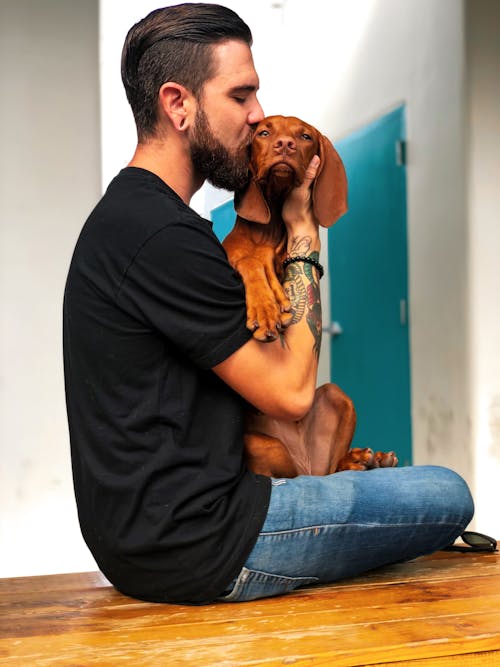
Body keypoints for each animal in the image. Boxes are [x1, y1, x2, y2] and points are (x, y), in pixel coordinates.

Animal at [224, 117, 398, 478]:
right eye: (264, 132)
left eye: (304, 136)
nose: (285, 145)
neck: (272, 227)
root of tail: (303, 461)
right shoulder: (237, 253)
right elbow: (250, 260)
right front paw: (265, 307)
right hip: (265, 447)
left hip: (336, 396)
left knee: (330, 470)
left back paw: (364, 459)